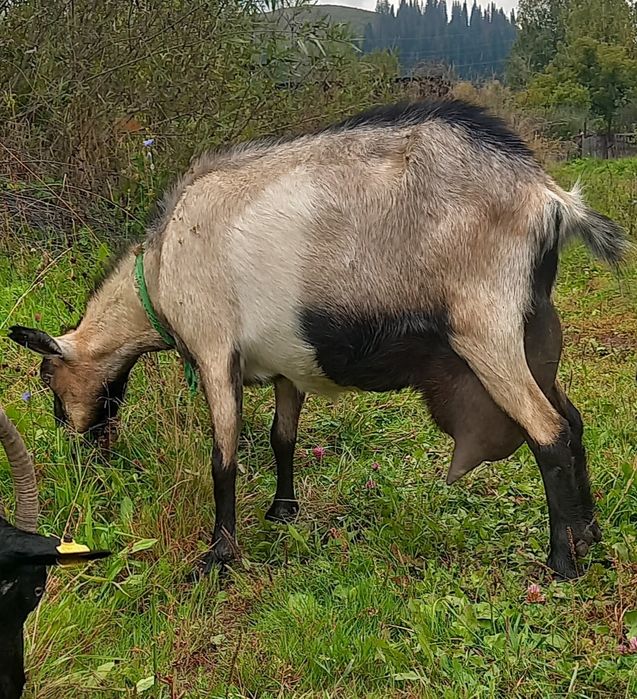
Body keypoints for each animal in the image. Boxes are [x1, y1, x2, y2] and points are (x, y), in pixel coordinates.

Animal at [9, 99, 629, 580]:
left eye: (48, 380)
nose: (82, 452)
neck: (160, 270)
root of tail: (548, 197)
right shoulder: (288, 364)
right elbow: (282, 438)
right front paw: (282, 512)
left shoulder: (215, 352)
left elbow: (223, 458)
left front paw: (219, 558)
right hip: (535, 330)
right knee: (572, 420)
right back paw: (591, 537)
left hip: (487, 328)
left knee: (547, 431)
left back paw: (561, 562)